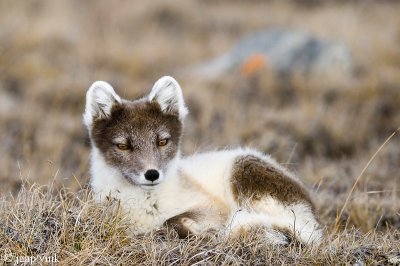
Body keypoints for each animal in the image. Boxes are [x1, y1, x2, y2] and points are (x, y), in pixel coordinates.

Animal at [83, 76, 322, 244]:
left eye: (162, 141)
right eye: (123, 146)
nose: (152, 174)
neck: (146, 204)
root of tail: (309, 209)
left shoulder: (215, 208)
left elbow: (171, 220)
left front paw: (196, 231)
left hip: (243, 168)